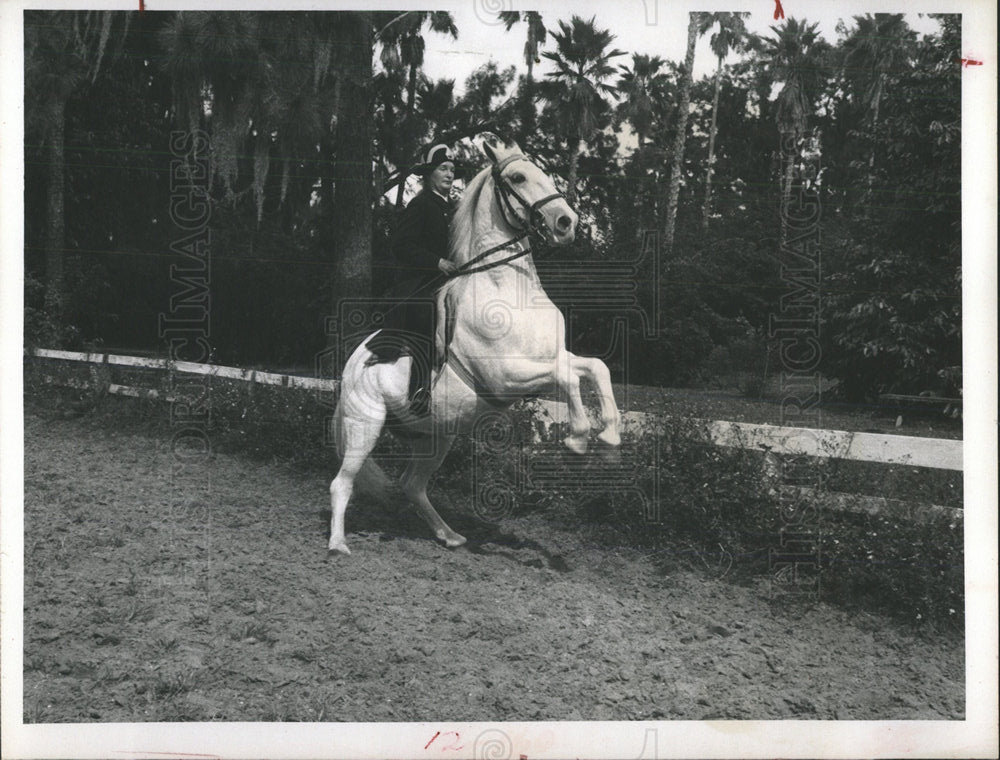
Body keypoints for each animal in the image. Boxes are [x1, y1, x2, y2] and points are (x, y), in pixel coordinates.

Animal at [328, 135, 620, 552]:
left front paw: (609, 436)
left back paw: (449, 536)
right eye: (518, 177)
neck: (506, 287)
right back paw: (338, 544)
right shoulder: (506, 376)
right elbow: (568, 379)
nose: (566, 223)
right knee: (343, 482)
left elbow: (594, 368)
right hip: (364, 425)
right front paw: (579, 441)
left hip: (437, 436)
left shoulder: (550, 357)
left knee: (412, 485)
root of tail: (350, 367)